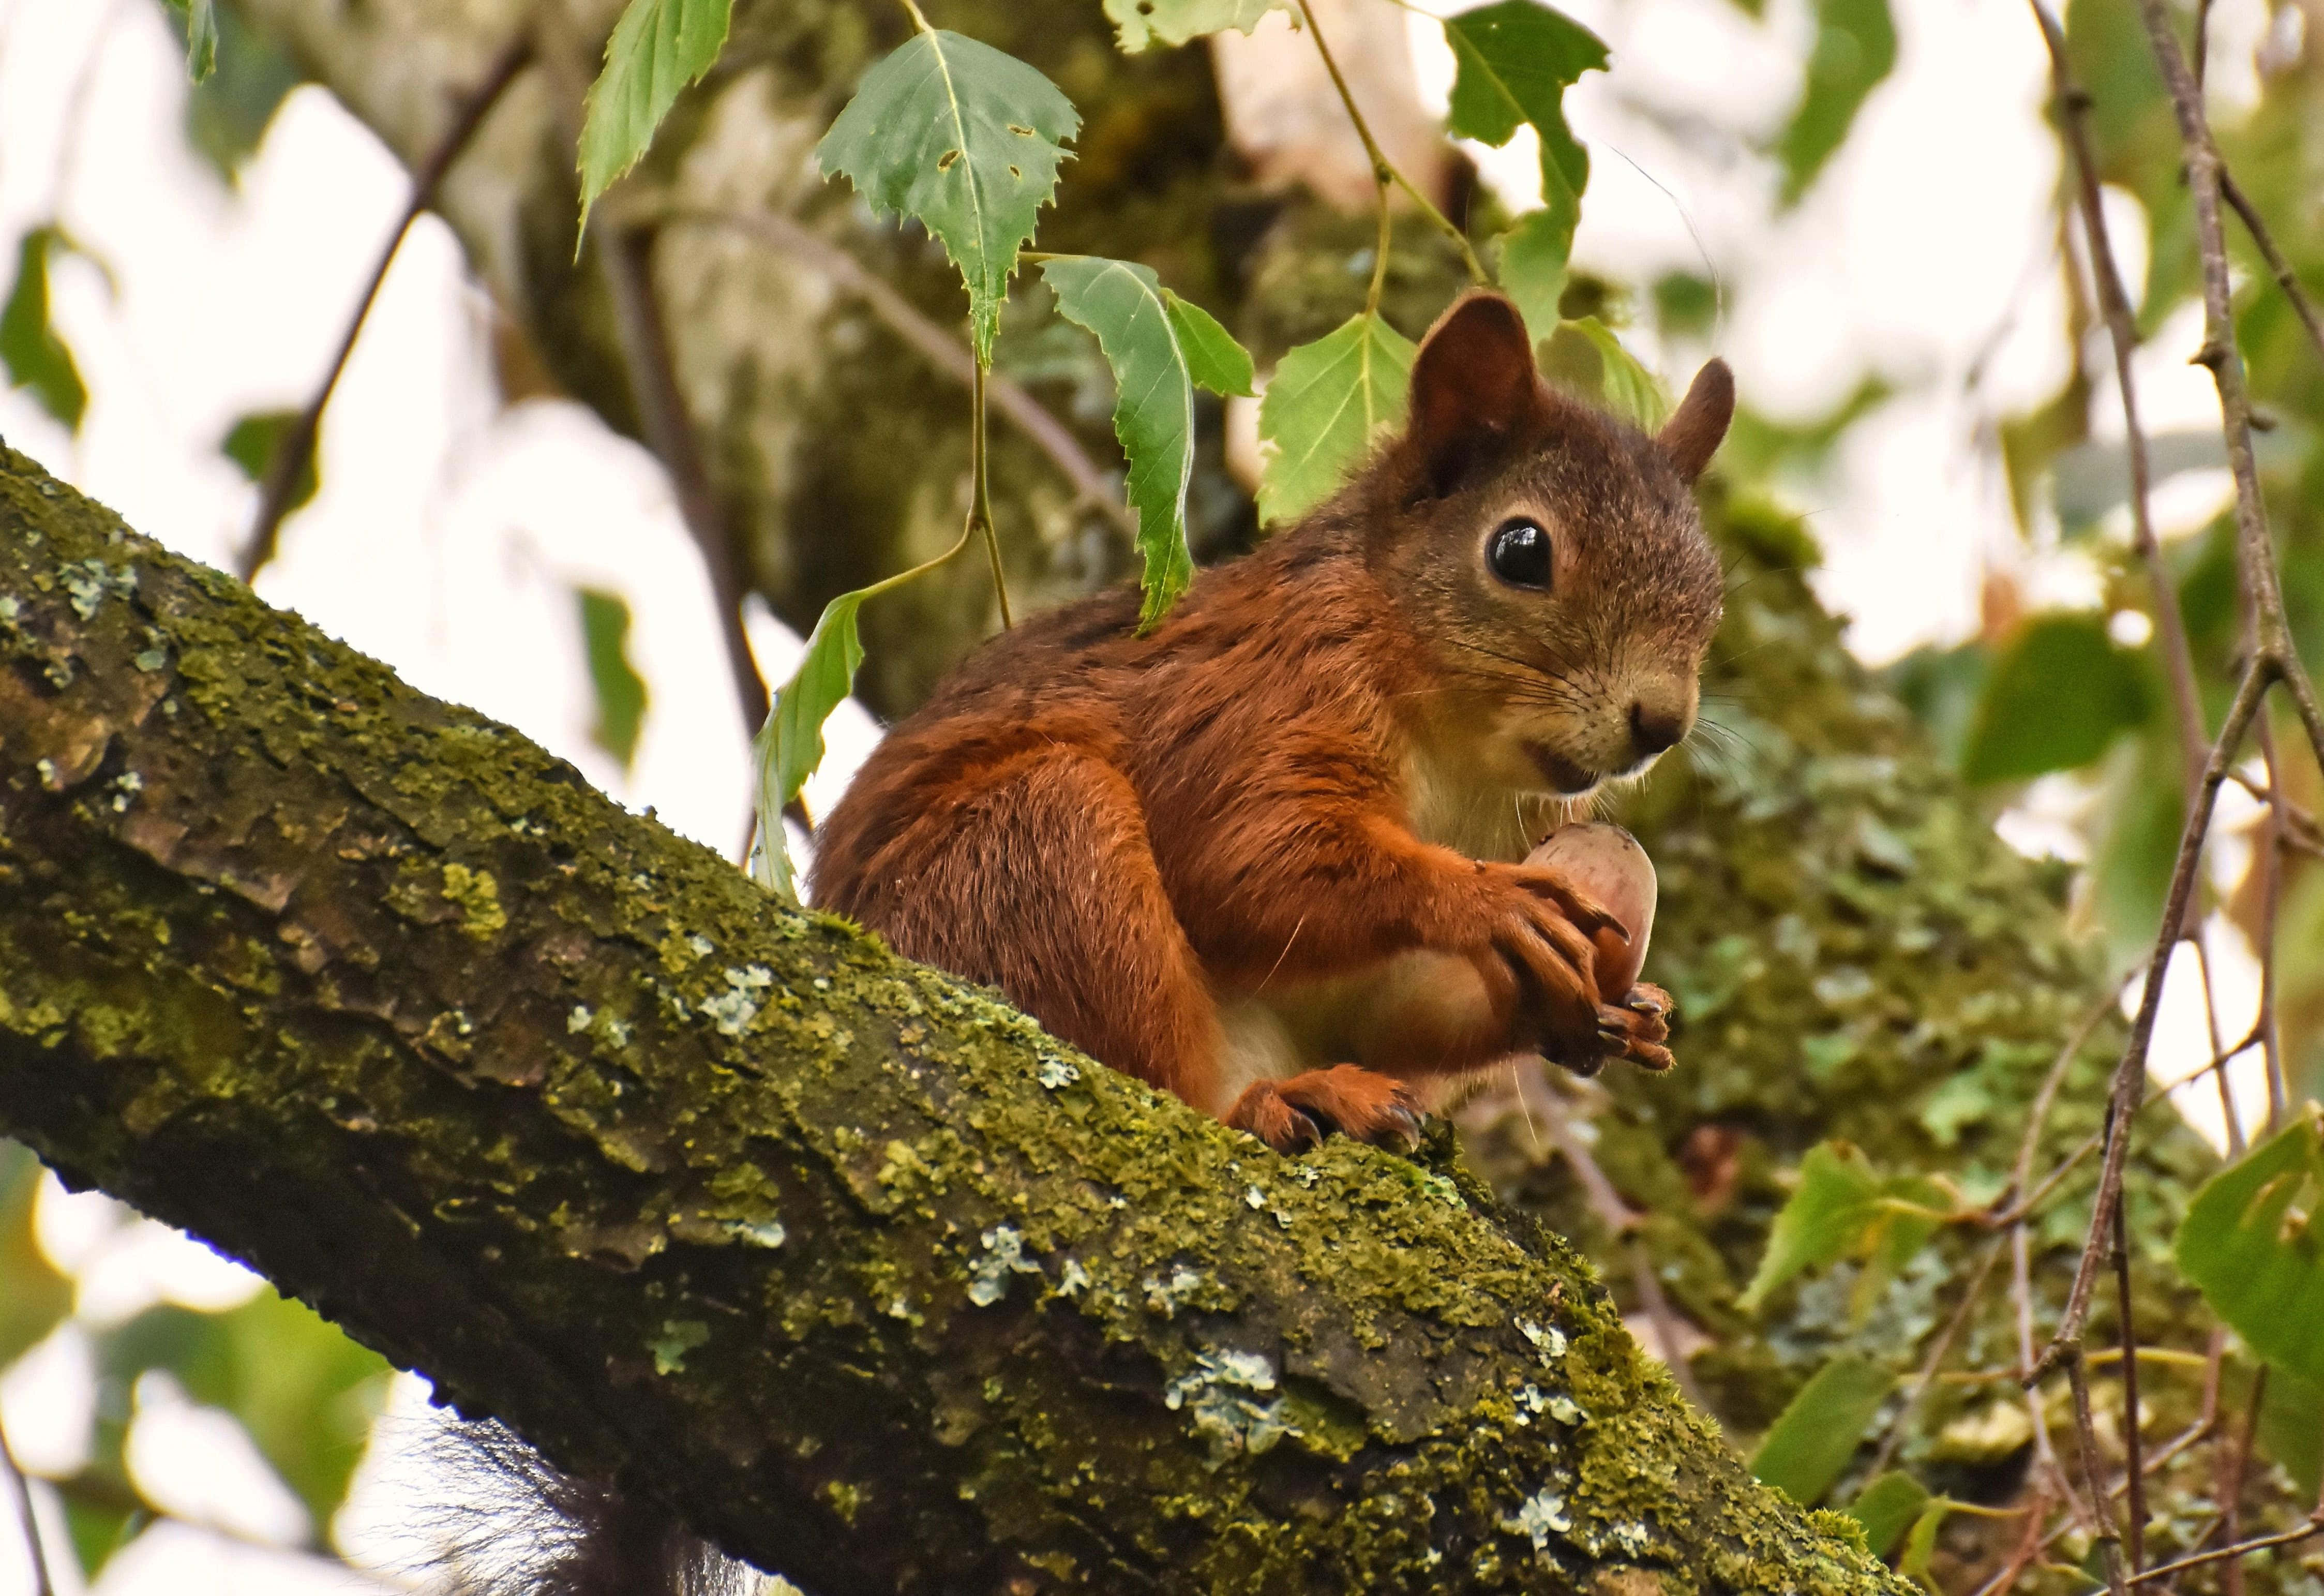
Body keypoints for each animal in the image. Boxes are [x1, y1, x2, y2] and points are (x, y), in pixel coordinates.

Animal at [448, 289, 1731, 1595]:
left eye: (1709, 584)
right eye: (1519, 551)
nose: (1659, 722)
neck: (1458, 750)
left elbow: (1388, 1000)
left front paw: (1602, 1012)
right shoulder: (1257, 703)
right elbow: (1255, 859)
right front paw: (1482, 904)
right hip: (1035, 858)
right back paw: (1280, 1103)